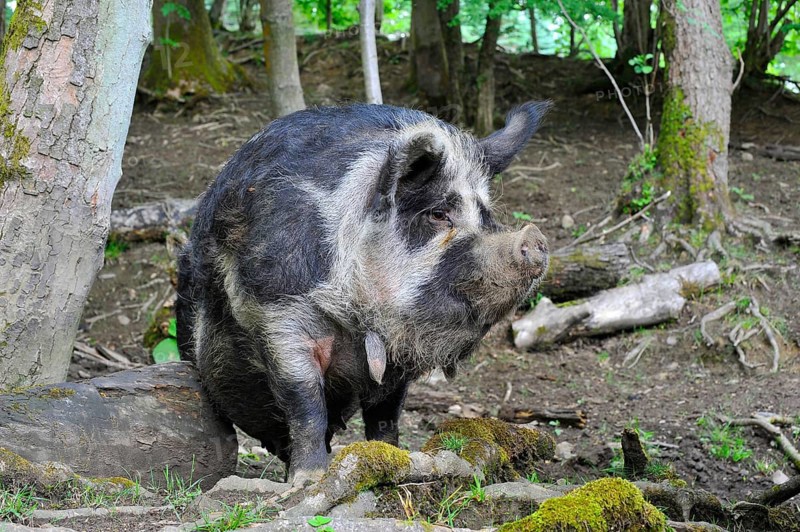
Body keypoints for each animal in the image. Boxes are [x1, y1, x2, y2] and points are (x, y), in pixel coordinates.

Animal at [176, 102, 551, 485]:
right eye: (438, 214)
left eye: (486, 215)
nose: (535, 239)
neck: (357, 317)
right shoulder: (280, 313)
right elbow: (305, 402)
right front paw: (308, 479)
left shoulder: (396, 357)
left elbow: (386, 414)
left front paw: (397, 459)